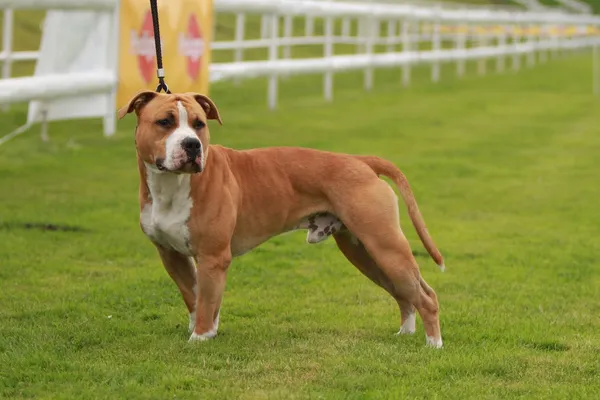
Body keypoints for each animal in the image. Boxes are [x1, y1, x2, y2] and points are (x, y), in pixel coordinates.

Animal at [118, 90, 446, 346]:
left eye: (199, 124)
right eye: (165, 122)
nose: (192, 144)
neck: (171, 185)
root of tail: (360, 161)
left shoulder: (213, 257)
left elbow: (207, 299)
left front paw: (200, 337)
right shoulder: (172, 255)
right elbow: (195, 296)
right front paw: (206, 329)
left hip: (385, 246)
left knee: (426, 296)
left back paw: (433, 344)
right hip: (365, 252)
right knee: (405, 293)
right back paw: (405, 333)